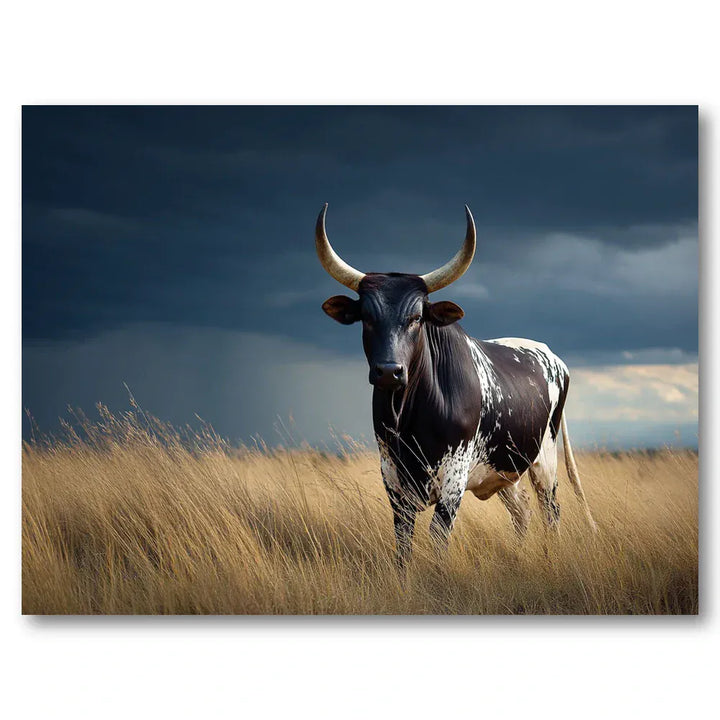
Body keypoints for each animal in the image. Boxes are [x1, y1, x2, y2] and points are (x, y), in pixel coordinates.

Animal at [315, 203, 597, 570]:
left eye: (417, 318)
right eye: (367, 317)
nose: (389, 372)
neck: (411, 417)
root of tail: (553, 357)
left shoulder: (454, 478)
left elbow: (438, 537)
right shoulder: (392, 476)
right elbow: (403, 542)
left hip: (544, 460)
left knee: (550, 512)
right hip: (503, 468)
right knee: (522, 512)